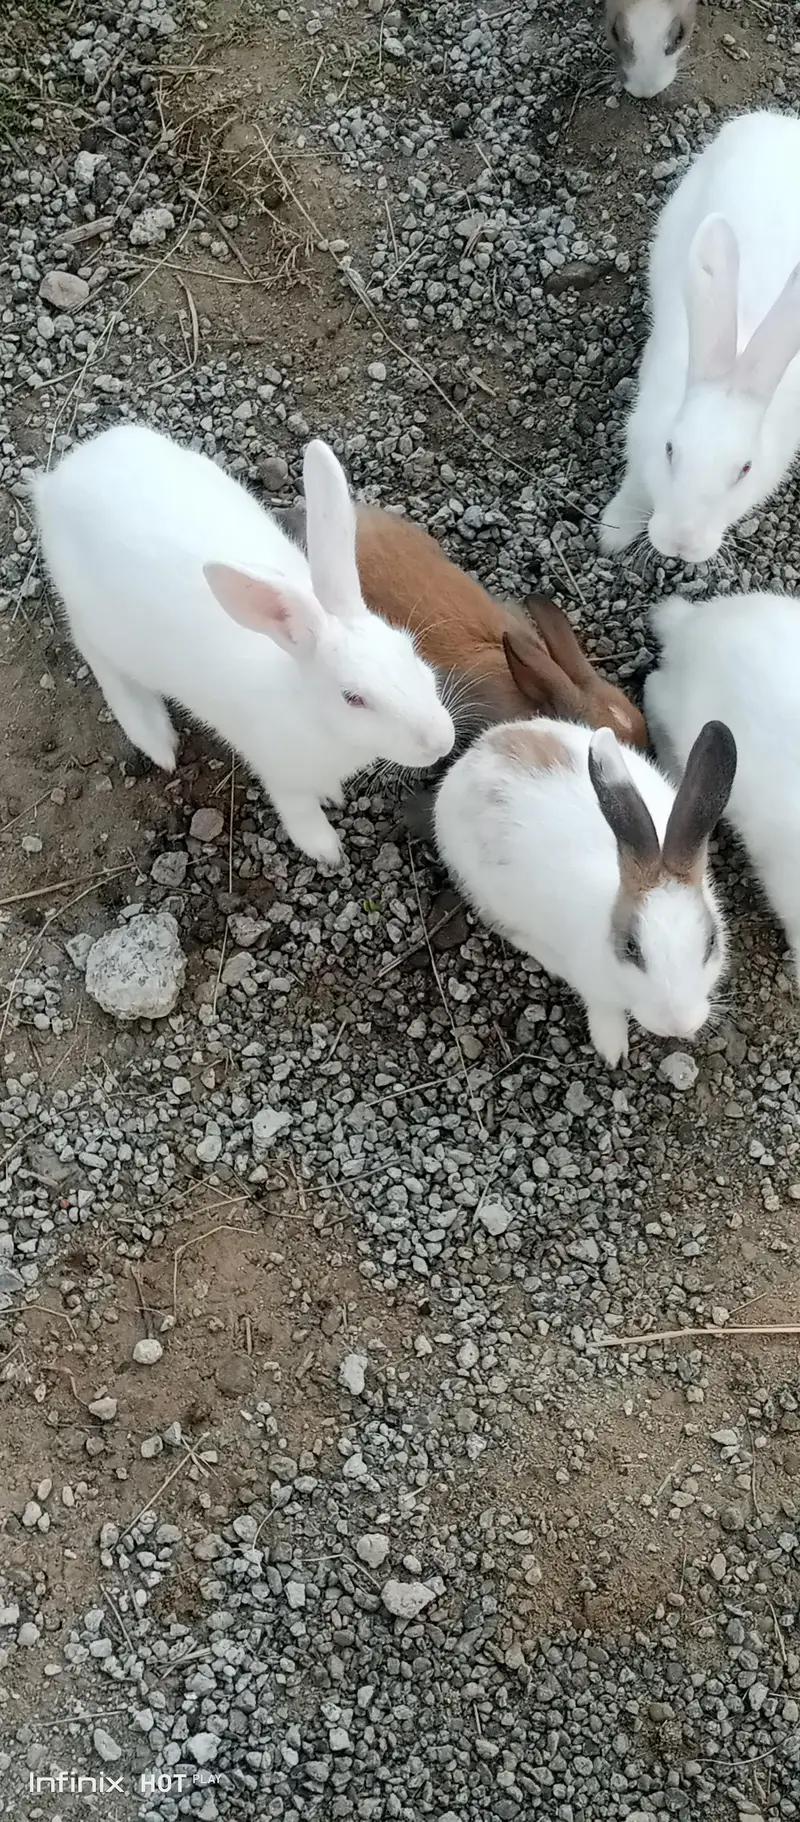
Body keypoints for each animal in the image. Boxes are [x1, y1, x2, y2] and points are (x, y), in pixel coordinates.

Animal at [32, 424, 455, 868]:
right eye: (353, 698)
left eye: (409, 651)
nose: (442, 743)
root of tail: (56, 483)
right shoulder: (281, 773)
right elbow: (299, 808)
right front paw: (326, 849)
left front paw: (333, 796)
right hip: (99, 624)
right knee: (99, 659)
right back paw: (155, 738)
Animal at [434, 712, 736, 1066]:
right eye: (631, 948)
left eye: (711, 942)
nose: (677, 1024)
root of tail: (475, 751)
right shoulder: (593, 986)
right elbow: (603, 1010)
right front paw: (613, 1051)